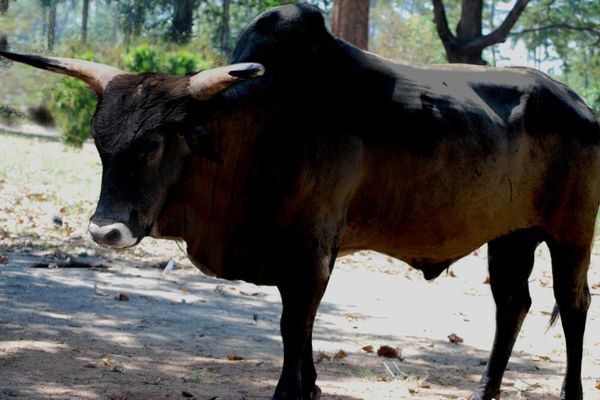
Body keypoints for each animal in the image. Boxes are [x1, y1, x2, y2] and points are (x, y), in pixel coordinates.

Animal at [2, 3, 596, 400]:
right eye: (101, 142)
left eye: (152, 145)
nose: (105, 231)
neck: (259, 130)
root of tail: (578, 103)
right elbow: (298, 332)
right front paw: (307, 386)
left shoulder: (310, 255)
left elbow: (295, 326)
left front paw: (292, 392)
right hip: (511, 235)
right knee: (512, 304)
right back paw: (484, 390)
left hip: (572, 233)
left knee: (572, 304)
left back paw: (568, 391)